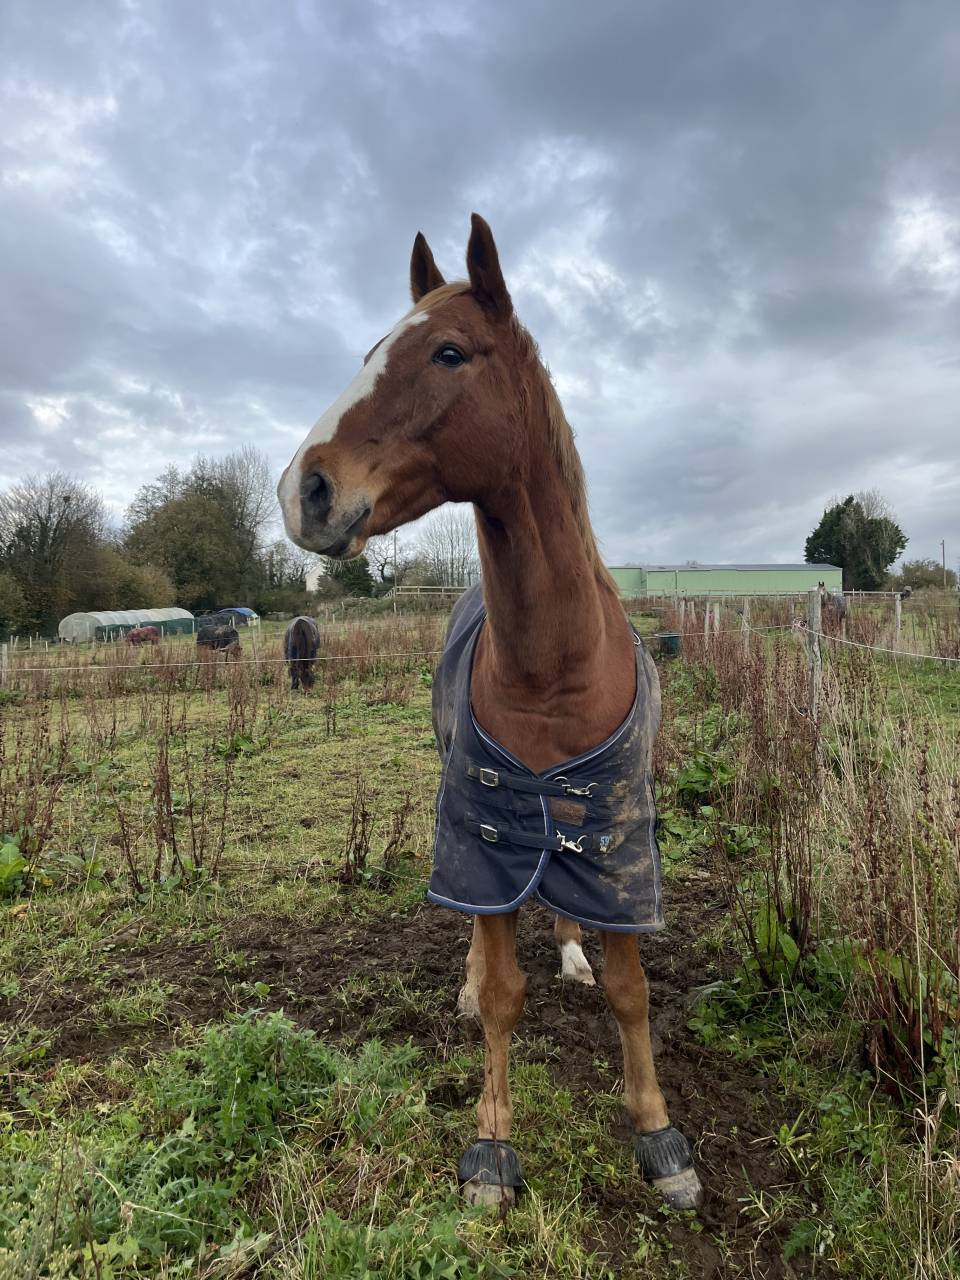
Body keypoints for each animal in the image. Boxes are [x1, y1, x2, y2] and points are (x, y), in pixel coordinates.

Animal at [277, 215, 702, 1213]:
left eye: (448, 352)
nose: (304, 489)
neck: (553, 666)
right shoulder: (483, 825)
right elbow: (505, 989)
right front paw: (493, 1143)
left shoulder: (619, 837)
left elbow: (632, 990)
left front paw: (658, 1132)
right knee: (483, 926)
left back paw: (573, 953)